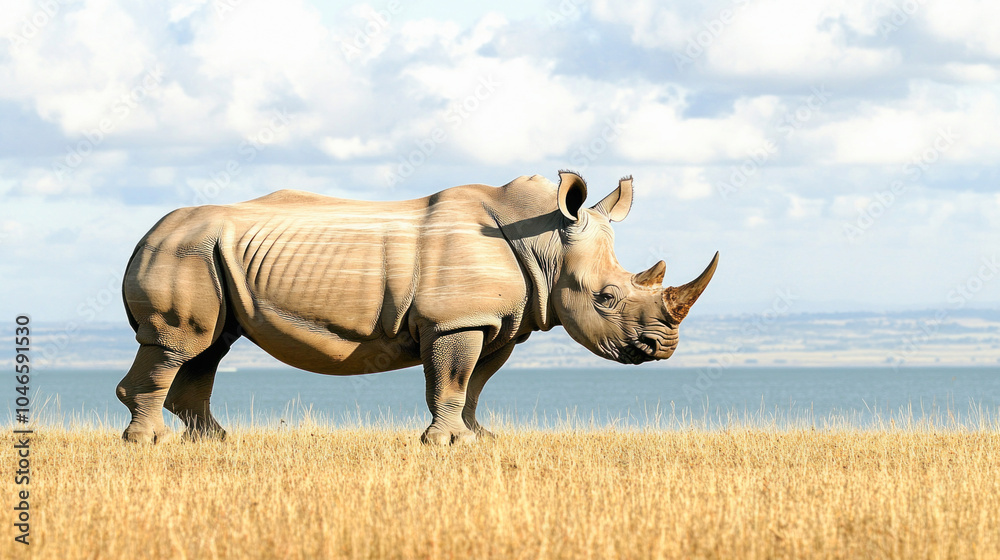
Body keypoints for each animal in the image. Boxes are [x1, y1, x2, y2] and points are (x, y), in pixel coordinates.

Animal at [117, 171, 718, 445]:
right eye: (606, 297)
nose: (662, 349)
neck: (545, 243)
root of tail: (143, 235)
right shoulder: (456, 319)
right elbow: (451, 378)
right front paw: (444, 443)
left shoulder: (497, 323)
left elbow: (474, 384)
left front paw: (477, 439)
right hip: (182, 250)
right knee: (179, 344)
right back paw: (151, 444)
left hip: (206, 254)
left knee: (209, 347)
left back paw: (214, 443)